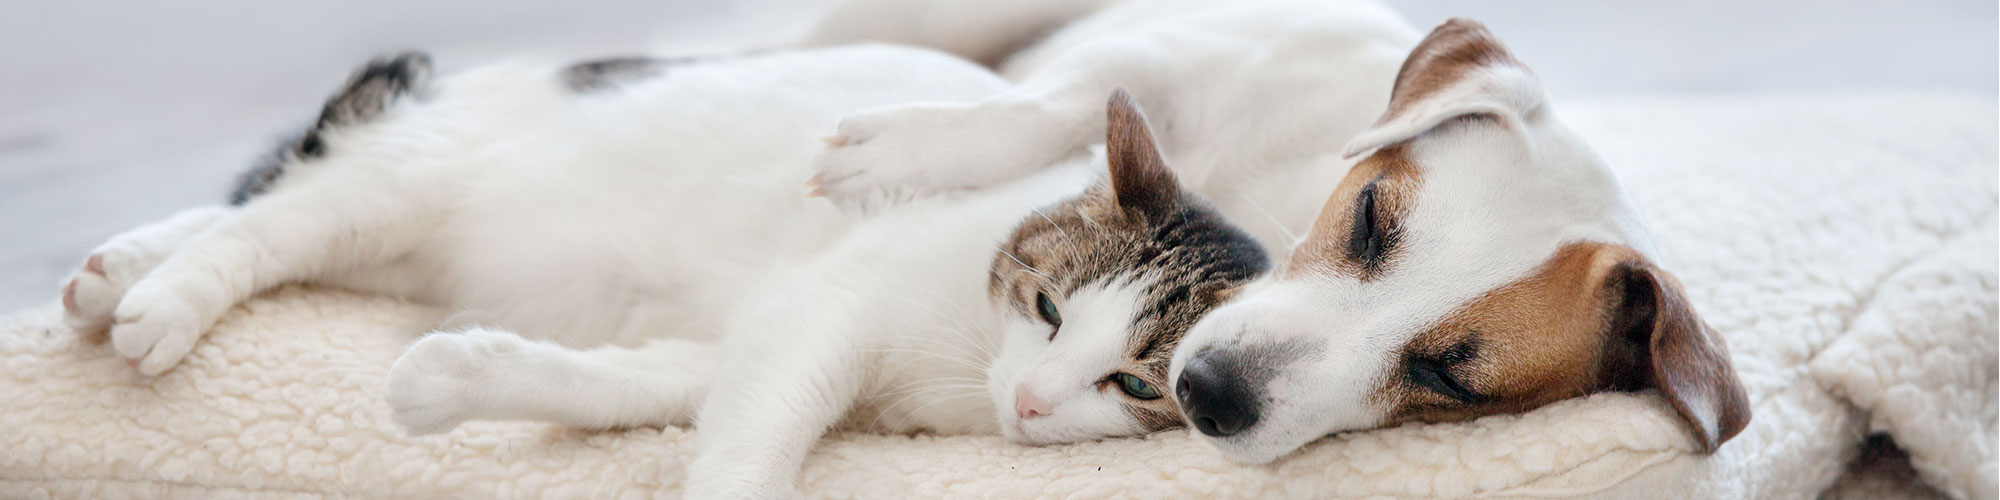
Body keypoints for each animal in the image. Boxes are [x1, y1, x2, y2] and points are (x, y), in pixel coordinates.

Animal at [62, 45, 1264, 498]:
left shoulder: (739, 341)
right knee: (262, 226)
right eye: (1049, 307)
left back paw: (113, 271)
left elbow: (619, 383)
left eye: (1135, 384)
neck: (959, 374)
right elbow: (758, 436)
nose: (1030, 401)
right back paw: (158, 297)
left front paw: (452, 379)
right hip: (409, 184)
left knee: (270, 209)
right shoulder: (821, 311)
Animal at [800, 0, 1752, 462]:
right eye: (1370, 218)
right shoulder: (1184, 57)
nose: (1206, 393)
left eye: (1451, 378)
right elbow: (1053, 104)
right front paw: (899, 153)